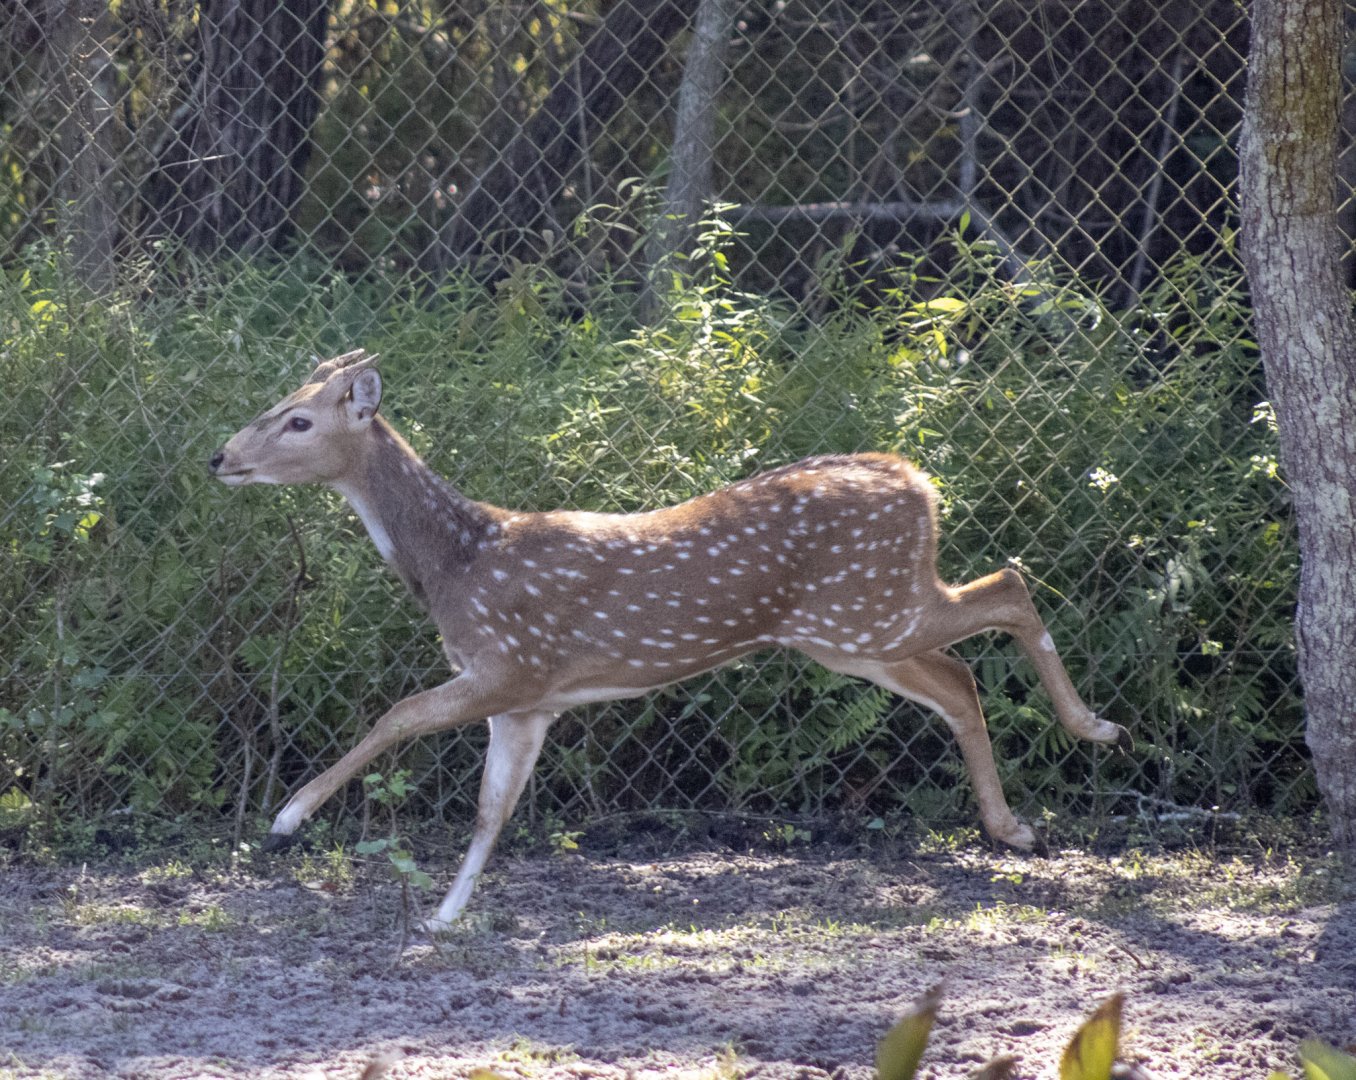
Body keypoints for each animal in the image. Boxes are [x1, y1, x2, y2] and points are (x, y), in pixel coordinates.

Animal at [209, 348, 1131, 932]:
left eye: (297, 420)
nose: (221, 456)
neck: (459, 566)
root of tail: (918, 480)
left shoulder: (510, 664)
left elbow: (396, 717)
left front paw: (288, 818)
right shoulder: (529, 702)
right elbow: (490, 811)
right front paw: (442, 918)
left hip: (871, 609)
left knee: (1008, 588)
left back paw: (1097, 730)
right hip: (853, 632)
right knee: (959, 675)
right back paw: (1015, 827)